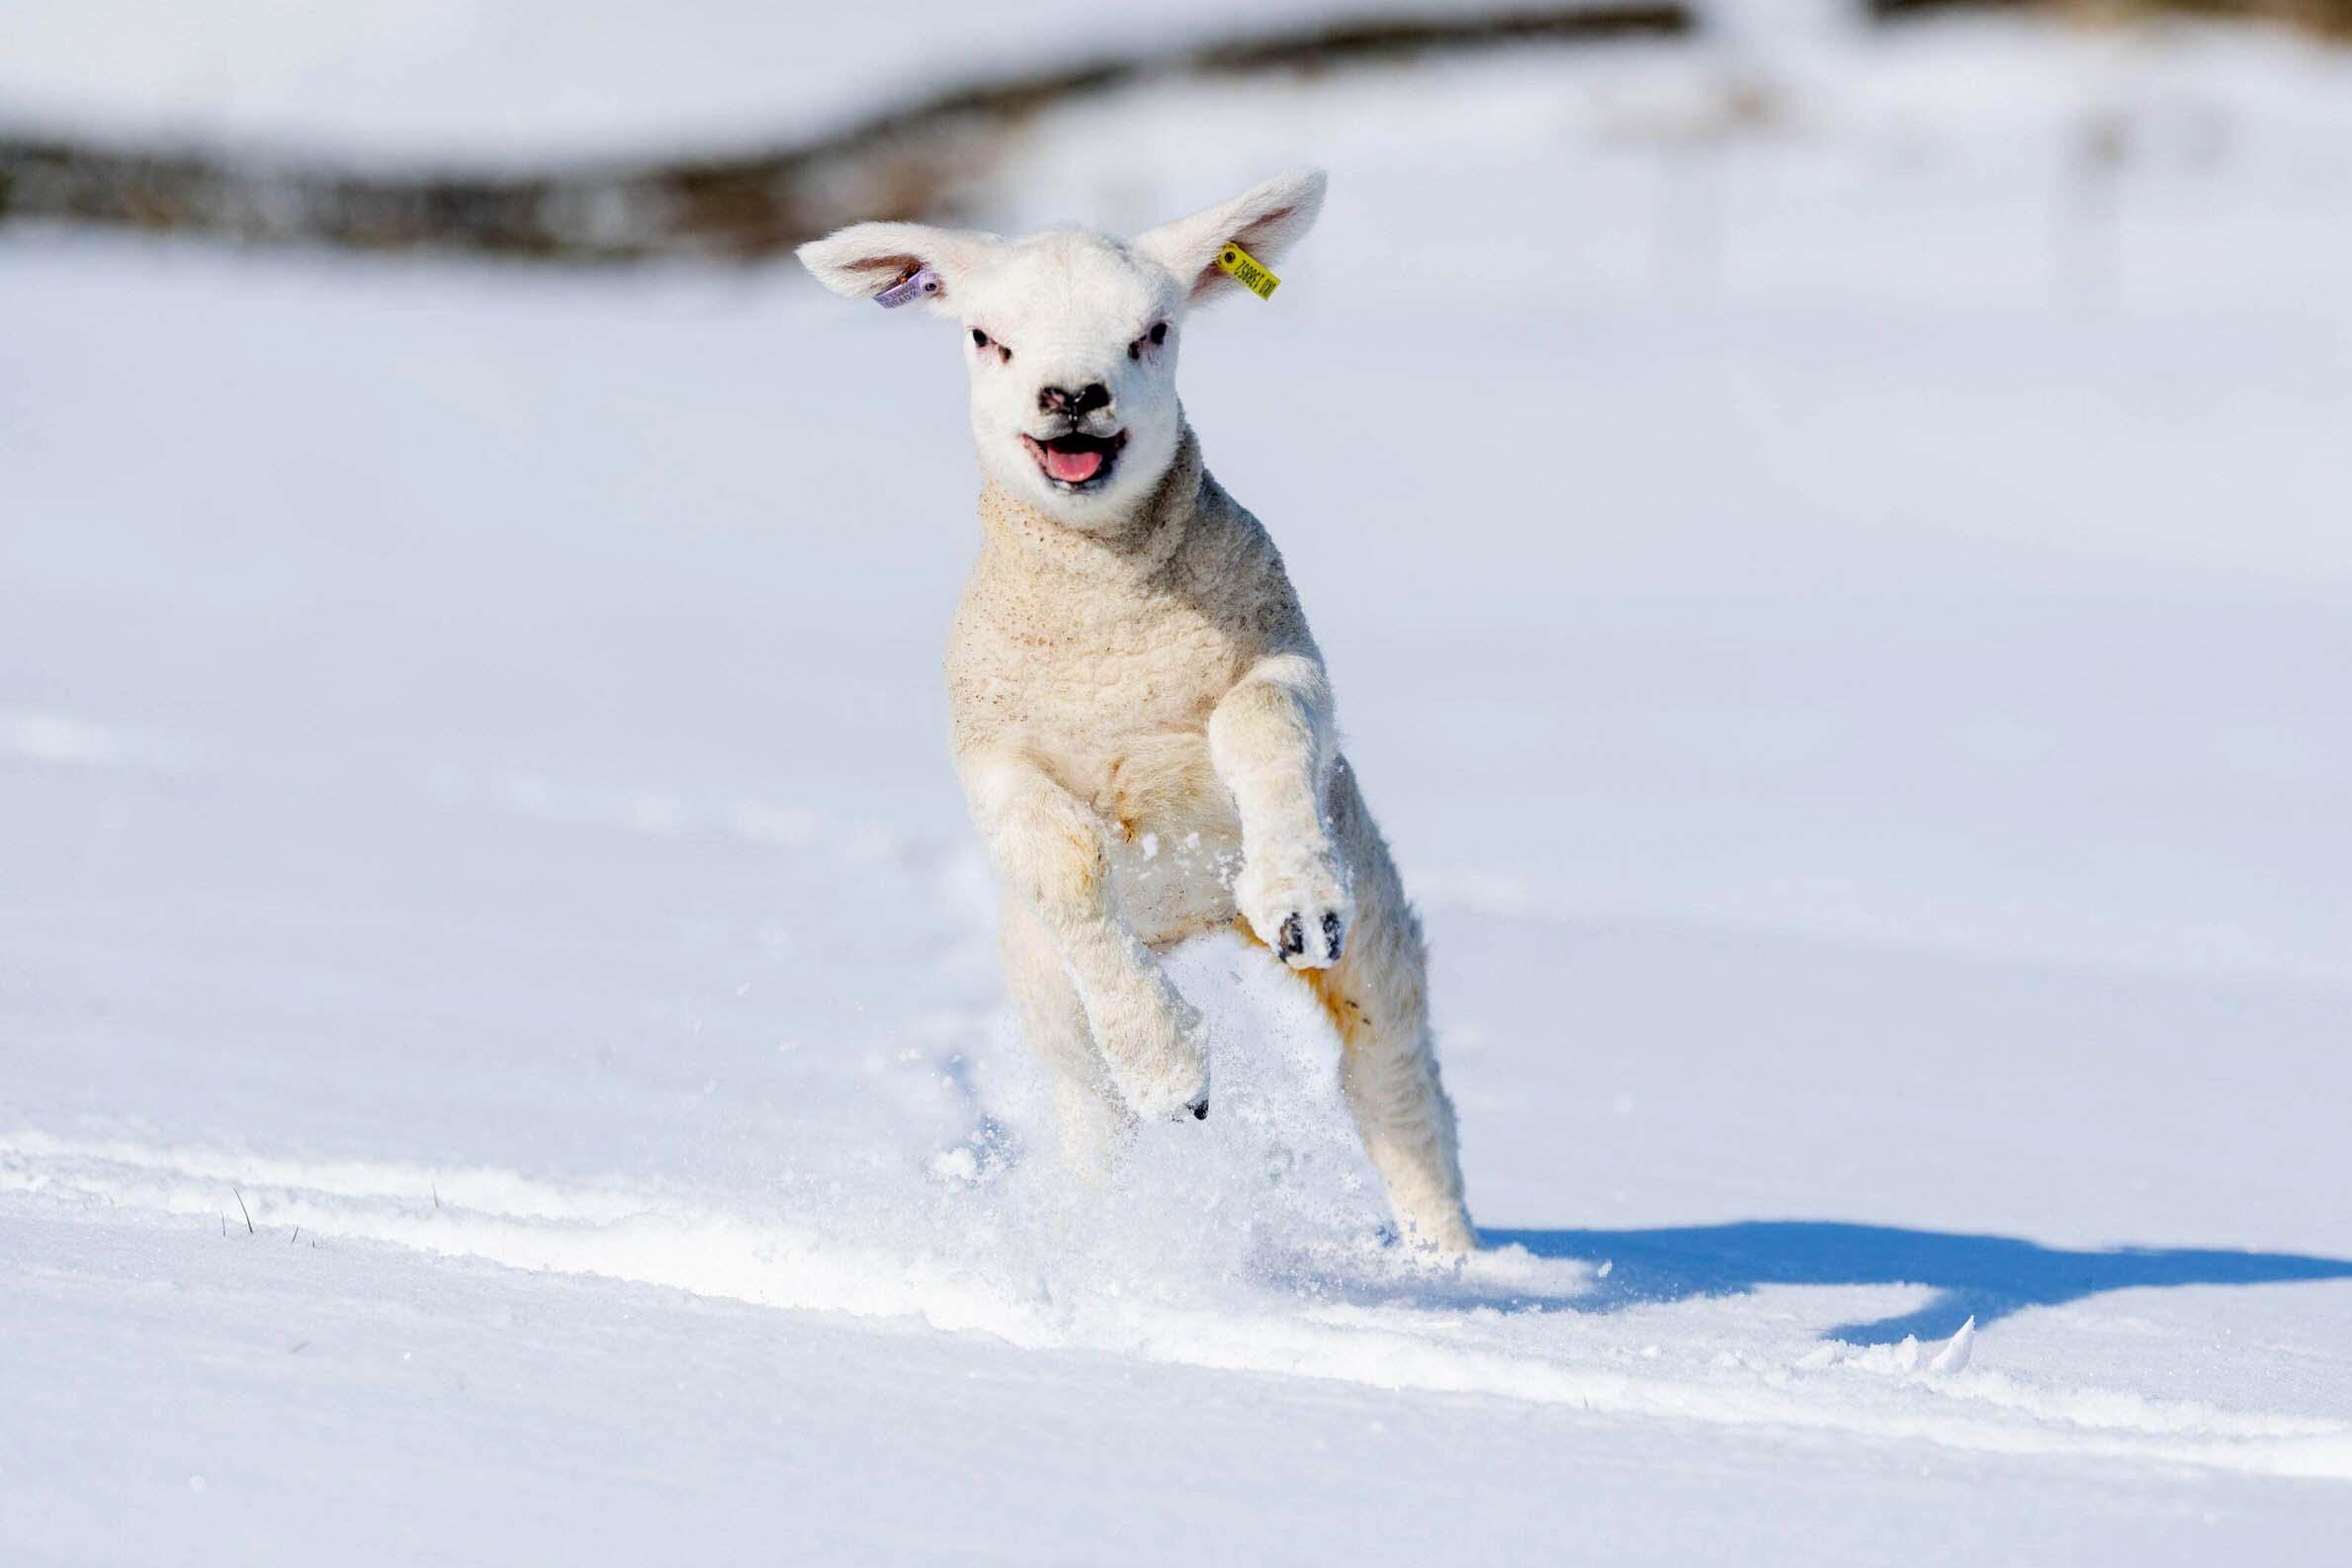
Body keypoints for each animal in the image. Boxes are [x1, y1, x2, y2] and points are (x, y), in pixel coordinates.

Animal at [797, 170, 1474, 1254]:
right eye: (986, 336)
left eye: (1154, 331)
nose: (1073, 397)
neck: (1111, 634)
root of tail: (1190, 920)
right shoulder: (991, 754)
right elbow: (1065, 864)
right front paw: (1172, 1069)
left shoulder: (1284, 654)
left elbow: (1261, 724)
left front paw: (1295, 897)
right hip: (1041, 986)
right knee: (1091, 1106)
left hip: (1376, 921)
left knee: (1395, 1080)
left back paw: (1449, 1258)